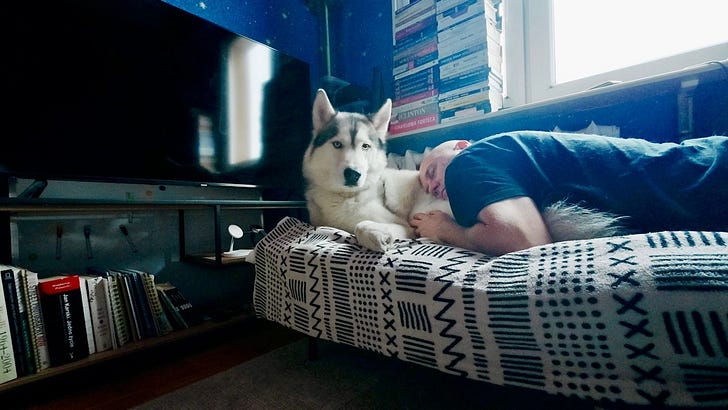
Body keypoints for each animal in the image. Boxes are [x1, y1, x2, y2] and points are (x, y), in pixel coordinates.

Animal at [302, 89, 625, 252]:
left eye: (365, 147)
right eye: (337, 144)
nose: (353, 174)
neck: (348, 198)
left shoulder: (406, 224)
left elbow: (362, 226)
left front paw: (375, 237)